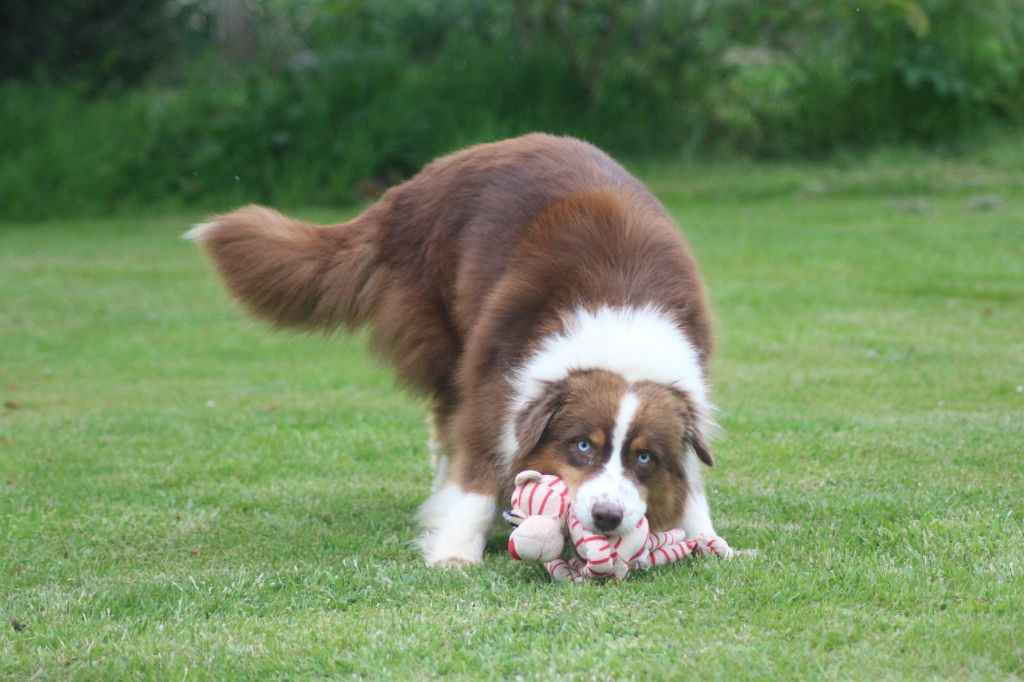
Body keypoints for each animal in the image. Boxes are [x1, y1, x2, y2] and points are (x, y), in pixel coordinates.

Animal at [188, 133, 733, 561]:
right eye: (582, 445)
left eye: (645, 459)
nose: (606, 517)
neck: (619, 326)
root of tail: (411, 186)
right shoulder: (496, 385)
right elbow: (479, 468)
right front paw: (454, 551)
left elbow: (691, 482)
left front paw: (707, 538)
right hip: (444, 343)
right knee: (446, 421)